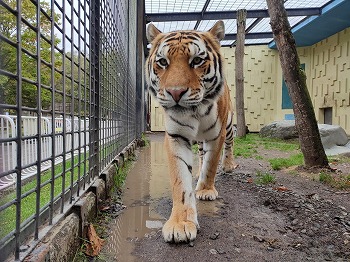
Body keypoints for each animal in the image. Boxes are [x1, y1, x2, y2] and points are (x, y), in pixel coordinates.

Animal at [145, 21, 238, 244]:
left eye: (196, 60)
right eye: (163, 62)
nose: (175, 92)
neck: (196, 111)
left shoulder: (216, 135)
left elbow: (211, 165)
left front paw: (205, 190)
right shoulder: (176, 137)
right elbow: (180, 180)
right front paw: (180, 223)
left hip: (229, 125)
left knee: (229, 146)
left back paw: (228, 165)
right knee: (201, 155)